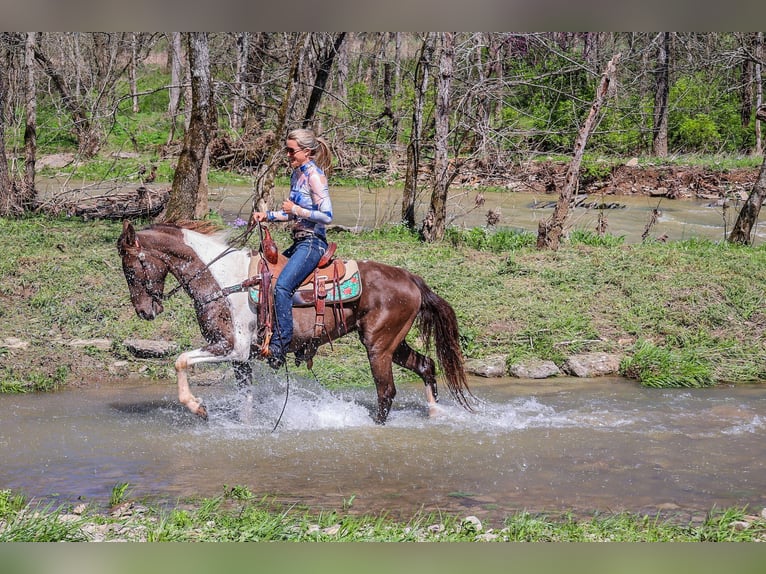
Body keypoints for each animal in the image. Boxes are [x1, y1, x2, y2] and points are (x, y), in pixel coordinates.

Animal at [117, 219, 474, 424]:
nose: (145, 311)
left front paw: (197, 407)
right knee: (426, 366)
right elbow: (245, 402)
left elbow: (180, 360)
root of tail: (411, 278)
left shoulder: (230, 347)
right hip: (392, 343)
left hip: (378, 347)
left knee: (386, 392)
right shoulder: (241, 359)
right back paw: (435, 414)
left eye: (132, 269)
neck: (223, 279)